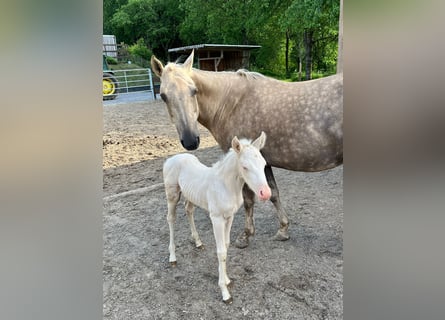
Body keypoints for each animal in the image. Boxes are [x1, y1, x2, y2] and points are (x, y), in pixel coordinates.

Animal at [151, 51, 342, 249]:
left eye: (193, 90)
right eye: (163, 96)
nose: (190, 140)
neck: (231, 103)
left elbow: (249, 200)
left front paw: (245, 236)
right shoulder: (263, 163)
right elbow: (273, 193)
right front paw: (283, 230)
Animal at [161, 131, 268, 304]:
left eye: (264, 164)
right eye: (245, 167)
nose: (266, 193)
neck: (226, 186)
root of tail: (171, 159)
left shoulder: (229, 216)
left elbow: (226, 245)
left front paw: (227, 280)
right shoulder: (216, 218)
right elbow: (221, 251)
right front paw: (225, 293)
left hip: (190, 195)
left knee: (189, 210)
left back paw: (198, 242)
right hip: (172, 194)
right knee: (171, 219)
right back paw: (172, 257)